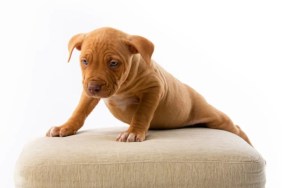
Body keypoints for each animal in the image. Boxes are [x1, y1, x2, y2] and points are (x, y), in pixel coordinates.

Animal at [45, 26, 251, 145]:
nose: (94, 88)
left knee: (235, 127)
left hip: (212, 115)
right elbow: (80, 110)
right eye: (85, 61)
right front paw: (65, 127)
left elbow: (142, 113)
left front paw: (133, 132)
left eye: (114, 63)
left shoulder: (154, 88)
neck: (122, 86)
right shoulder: (88, 92)